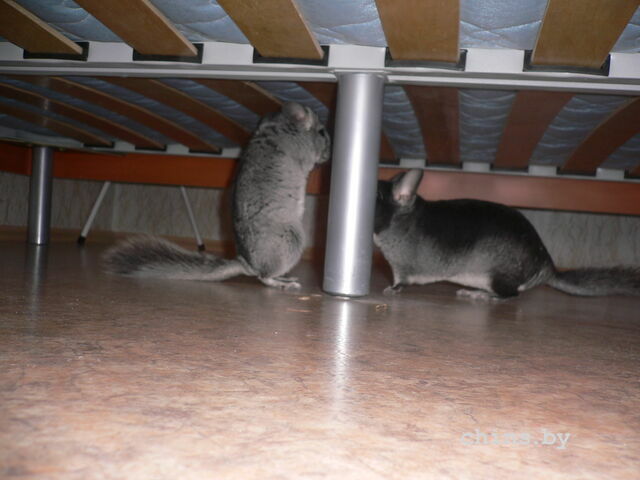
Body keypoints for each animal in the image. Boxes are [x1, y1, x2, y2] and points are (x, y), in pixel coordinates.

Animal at [103, 102, 331, 290]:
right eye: (321, 132)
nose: (329, 153)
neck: (284, 126)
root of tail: (247, 265)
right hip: (293, 238)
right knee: (264, 277)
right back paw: (286, 283)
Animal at [374, 169, 640, 300]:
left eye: (376, 197)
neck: (401, 222)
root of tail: (548, 268)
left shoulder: (403, 267)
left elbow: (400, 282)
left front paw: (389, 291)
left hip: (496, 275)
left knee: (510, 295)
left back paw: (478, 295)